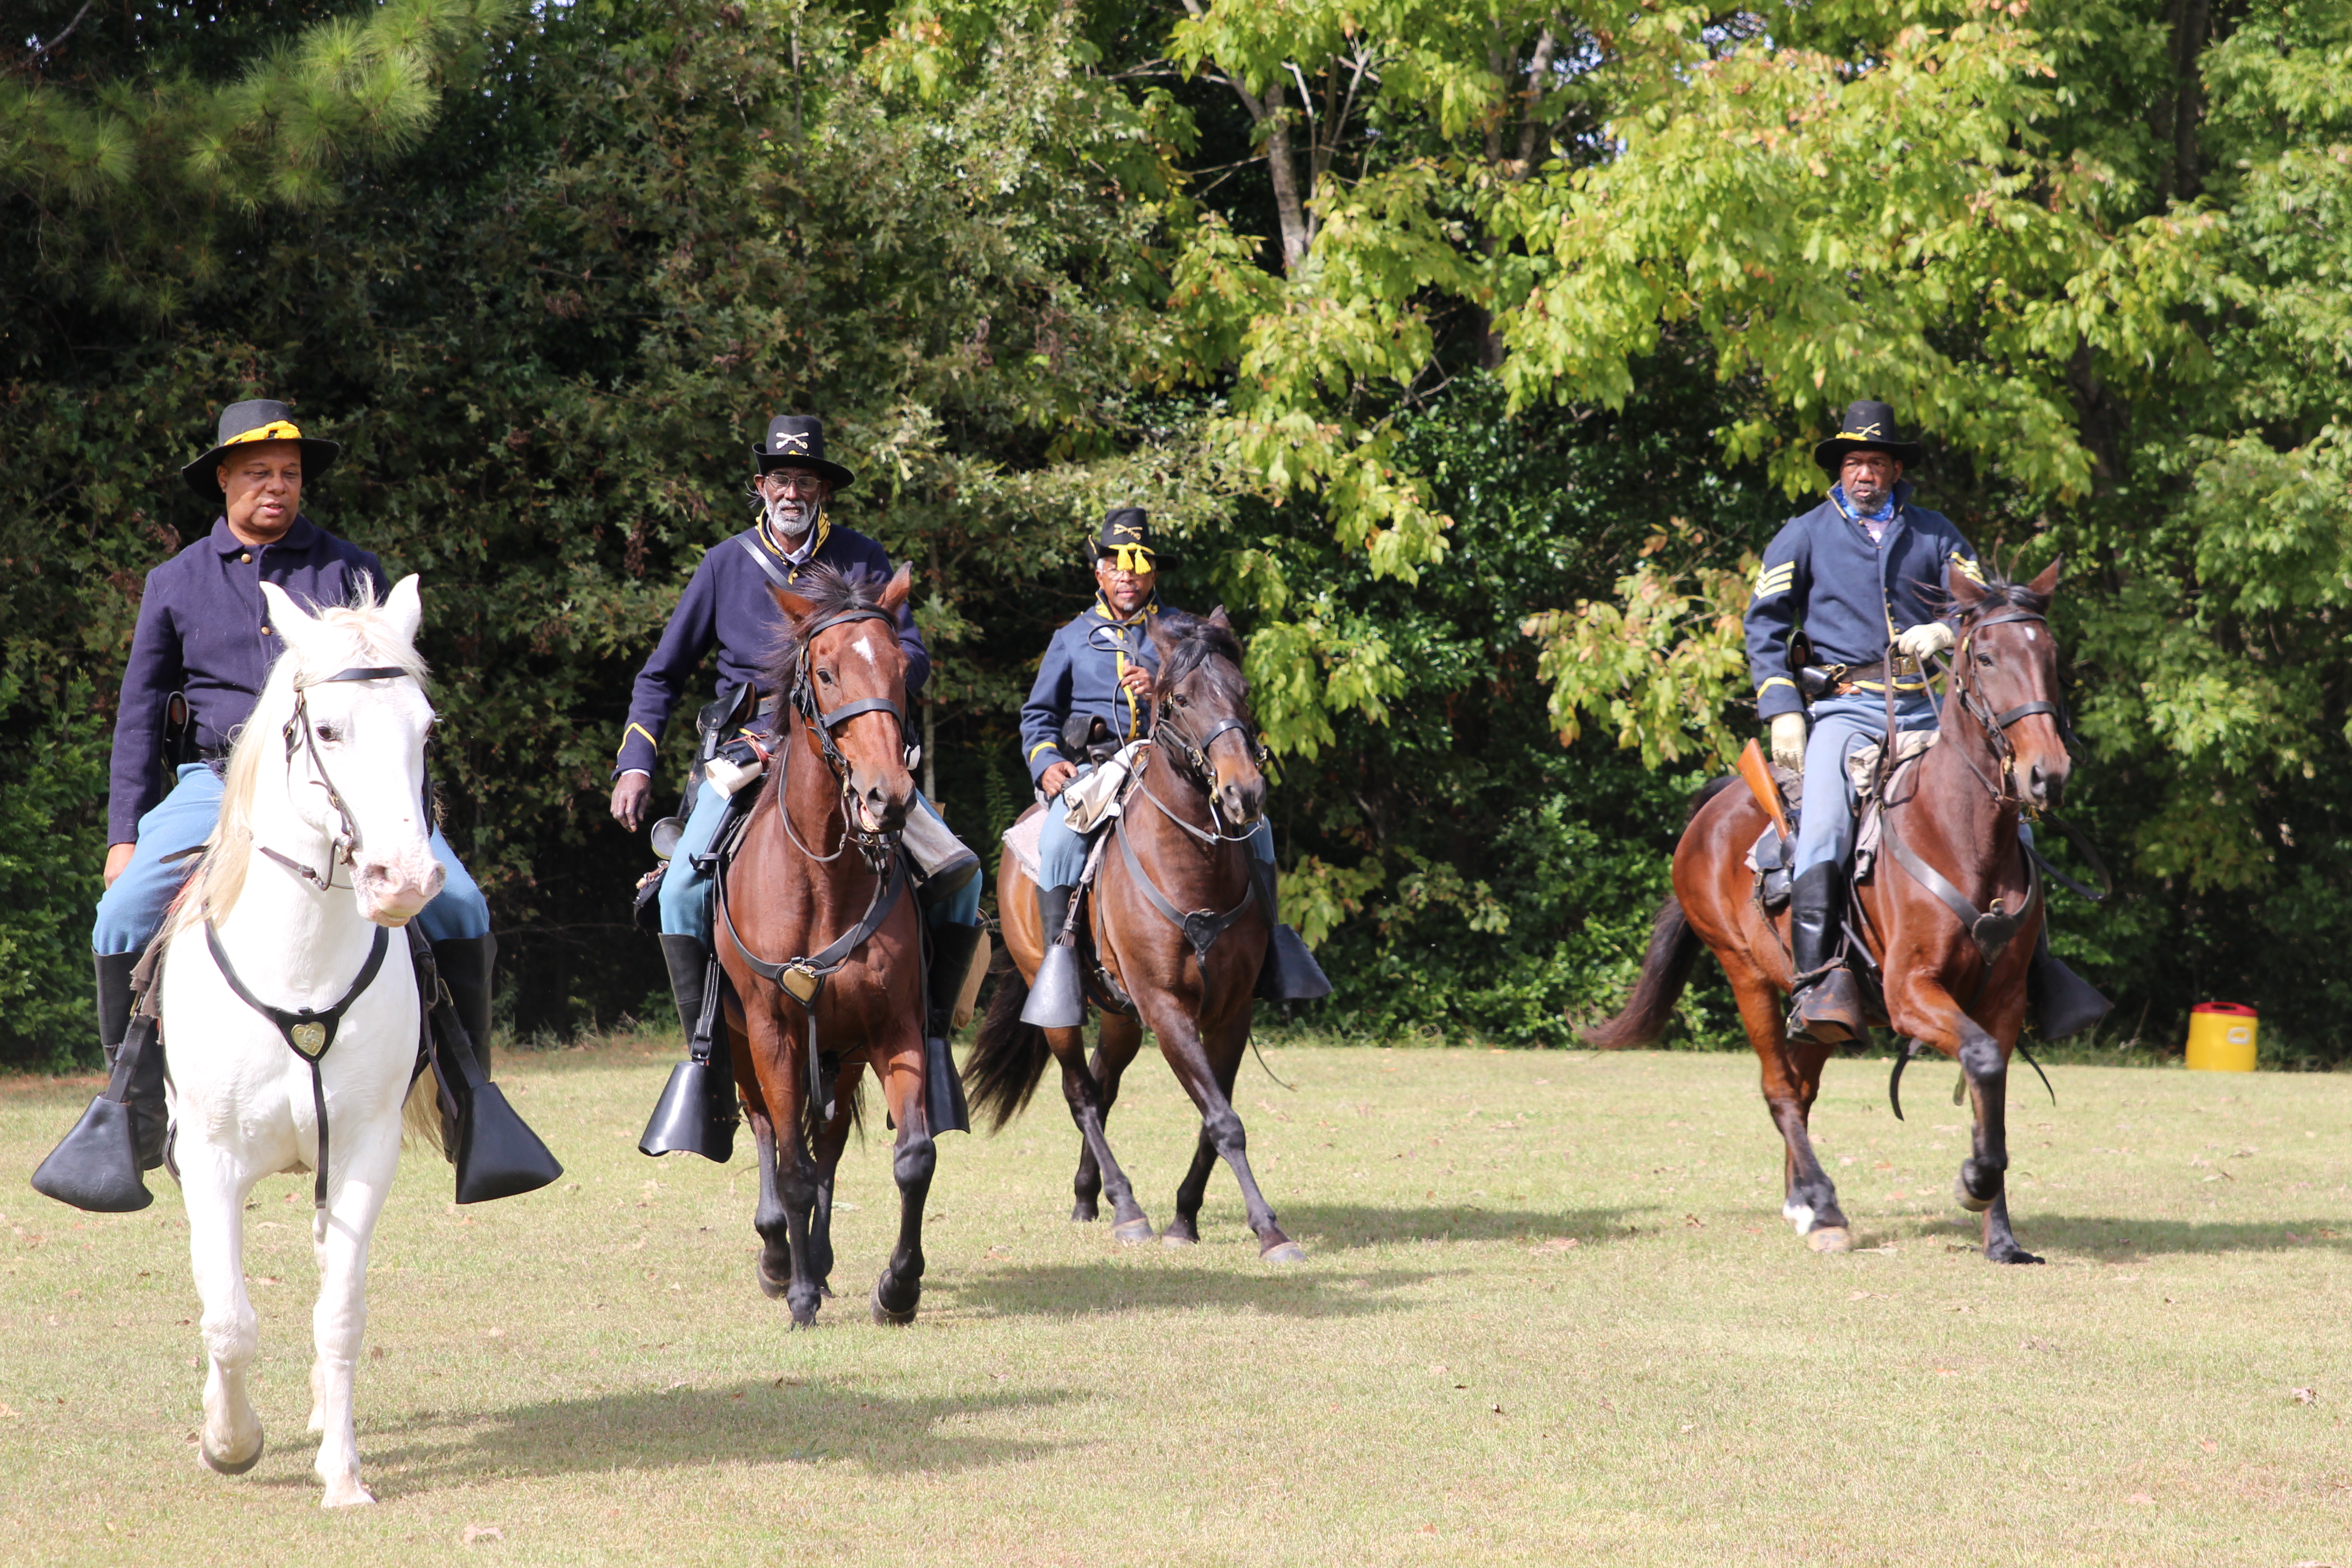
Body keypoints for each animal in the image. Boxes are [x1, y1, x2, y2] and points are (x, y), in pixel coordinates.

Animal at [164, 576, 444, 1504]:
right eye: (326, 730)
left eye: (426, 728)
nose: (404, 879)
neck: (299, 969)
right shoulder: (209, 1159)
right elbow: (228, 1317)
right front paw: (229, 1442)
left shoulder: (362, 1151)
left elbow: (341, 1313)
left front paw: (345, 1477)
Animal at [715, 564, 936, 1326]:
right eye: (827, 672)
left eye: (901, 668)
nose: (888, 797)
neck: (823, 876)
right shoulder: (773, 1032)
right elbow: (791, 1167)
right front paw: (801, 1292)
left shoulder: (893, 1028)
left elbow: (912, 1159)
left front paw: (898, 1287)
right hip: (743, 1045)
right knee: (766, 1132)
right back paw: (781, 1256)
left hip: (842, 1054)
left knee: (830, 1146)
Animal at [969, 611, 1317, 1260]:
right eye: (1179, 700)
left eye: (1243, 691)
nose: (1244, 794)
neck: (1193, 868)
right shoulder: (1167, 1008)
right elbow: (1224, 1121)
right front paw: (1269, 1229)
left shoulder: (1229, 1013)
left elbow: (1215, 1117)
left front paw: (1186, 1218)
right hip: (1061, 1006)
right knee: (1081, 1094)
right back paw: (1125, 1207)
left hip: (1120, 1016)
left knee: (1102, 1086)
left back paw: (1090, 1197)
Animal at [1590, 564, 2069, 1260]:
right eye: (1984, 657)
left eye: (2050, 656)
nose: (2046, 774)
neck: (1960, 833)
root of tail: (1713, 808)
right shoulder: (1911, 993)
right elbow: (1980, 1063)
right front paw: (1974, 1183)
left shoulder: (2002, 1001)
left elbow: (1992, 1086)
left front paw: (2001, 1237)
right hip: (1746, 975)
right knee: (1779, 1089)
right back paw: (1821, 1208)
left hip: (1823, 1009)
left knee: (1804, 1082)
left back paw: (1802, 1202)